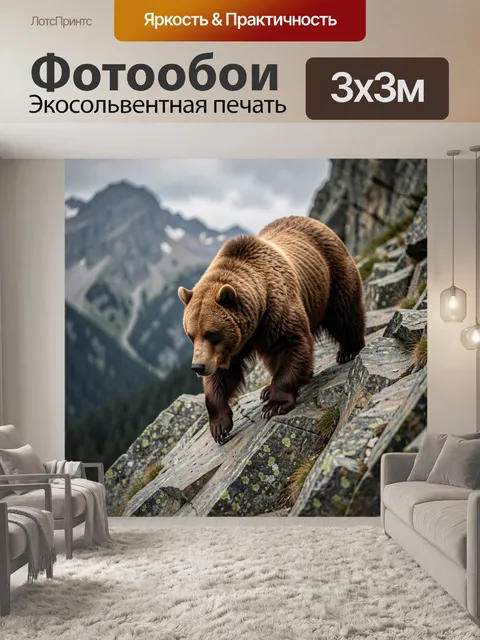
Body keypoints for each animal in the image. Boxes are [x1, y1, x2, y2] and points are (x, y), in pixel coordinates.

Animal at [178, 216, 365, 445]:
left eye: (210, 333)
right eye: (190, 334)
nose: (198, 366)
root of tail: (314, 221)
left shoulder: (277, 310)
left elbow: (291, 344)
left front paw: (274, 405)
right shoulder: (234, 342)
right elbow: (223, 374)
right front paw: (219, 426)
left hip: (331, 273)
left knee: (344, 310)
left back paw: (348, 349)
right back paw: (272, 388)